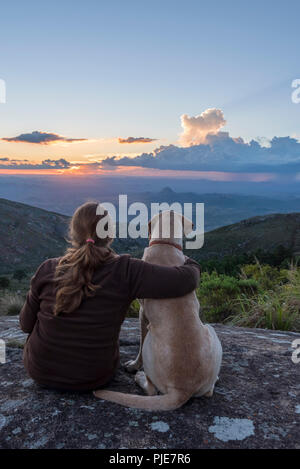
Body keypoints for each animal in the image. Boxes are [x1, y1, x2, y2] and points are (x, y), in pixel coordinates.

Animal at [94, 209, 223, 410]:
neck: (165, 243)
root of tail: (182, 390)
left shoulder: (142, 314)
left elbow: (139, 347)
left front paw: (133, 366)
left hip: (152, 339)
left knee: (152, 390)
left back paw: (140, 377)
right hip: (211, 330)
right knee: (209, 391)